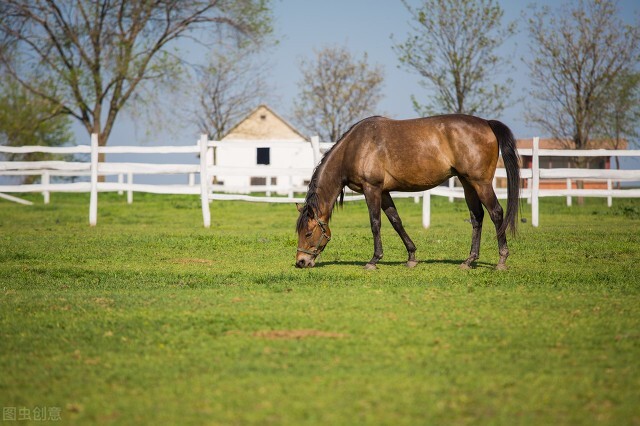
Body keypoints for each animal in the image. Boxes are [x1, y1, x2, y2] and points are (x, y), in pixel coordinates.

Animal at [296, 114, 520, 270]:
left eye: (308, 233)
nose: (301, 261)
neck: (356, 147)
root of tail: (487, 123)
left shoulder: (372, 189)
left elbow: (375, 224)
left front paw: (374, 260)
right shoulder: (384, 192)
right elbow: (396, 221)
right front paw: (411, 257)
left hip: (481, 183)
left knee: (496, 213)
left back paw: (501, 260)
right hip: (467, 183)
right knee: (477, 217)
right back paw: (469, 260)